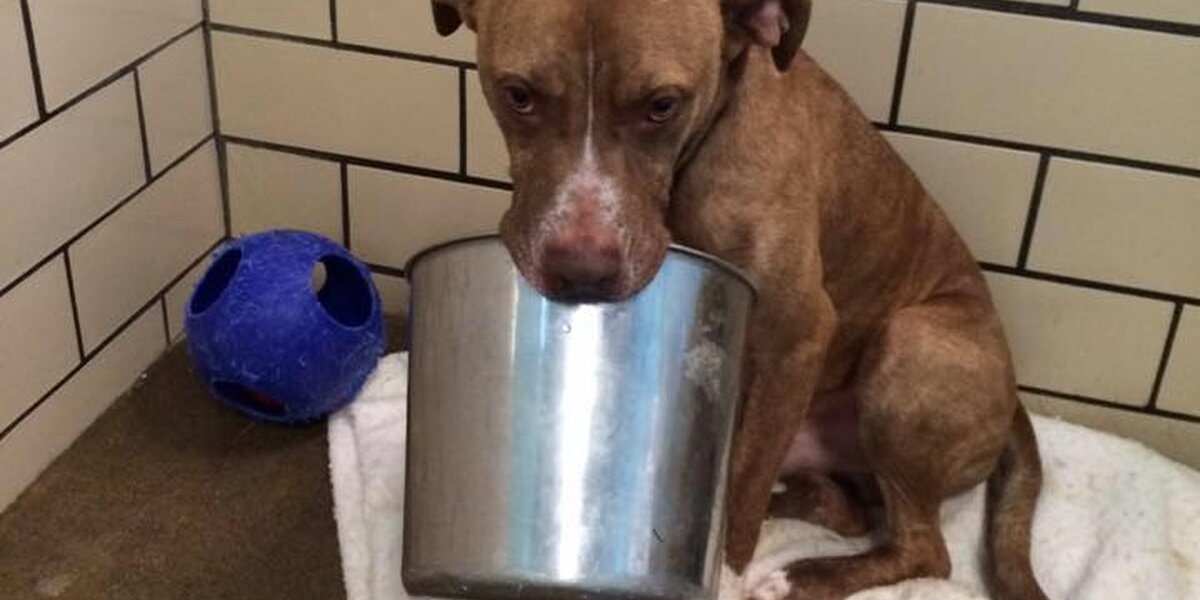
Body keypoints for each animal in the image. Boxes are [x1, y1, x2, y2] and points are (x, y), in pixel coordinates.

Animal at [429, 2, 1041, 597]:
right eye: (518, 95)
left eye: (662, 106)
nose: (582, 272)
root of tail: (1015, 403)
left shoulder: (798, 335)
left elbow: (742, 491)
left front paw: (726, 573)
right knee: (845, 509)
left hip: (910, 343)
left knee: (923, 549)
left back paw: (801, 576)